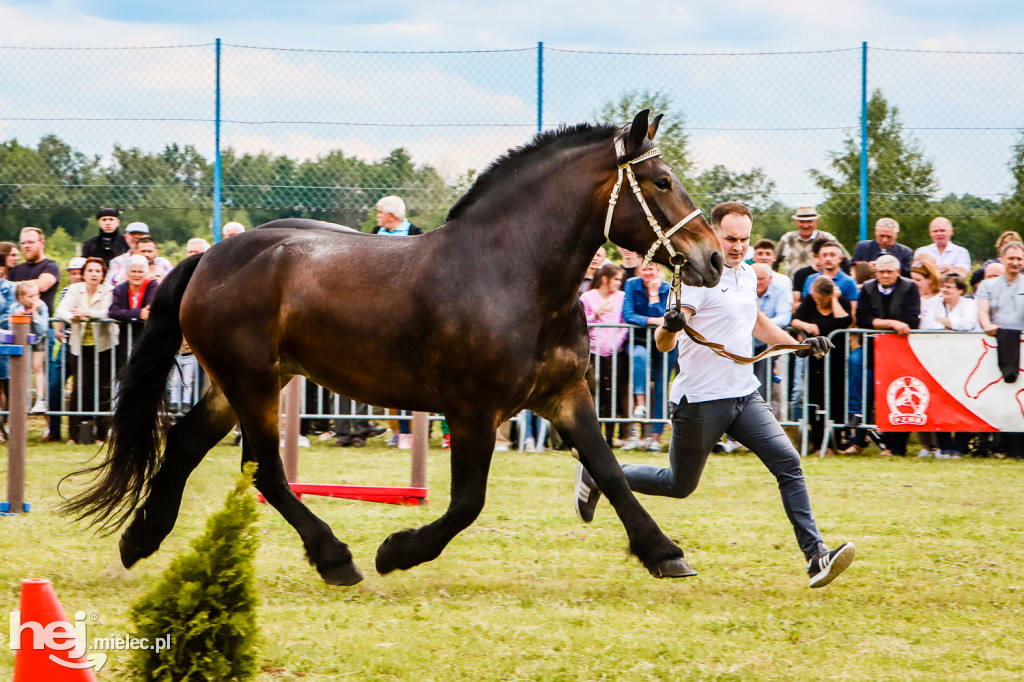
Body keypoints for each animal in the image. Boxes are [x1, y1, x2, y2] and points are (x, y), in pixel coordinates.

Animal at [64, 109, 724, 581]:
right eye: (662, 181)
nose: (714, 258)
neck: (513, 274)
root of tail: (208, 259)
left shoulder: (566, 396)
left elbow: (608, 470)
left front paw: (663, 552)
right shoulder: (474, 411)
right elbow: (468, 503)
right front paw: (397, 551)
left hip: (245, 383)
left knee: (186, 444)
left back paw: (140, 539)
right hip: (252, 382)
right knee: (265, 470)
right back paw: (335, 558)